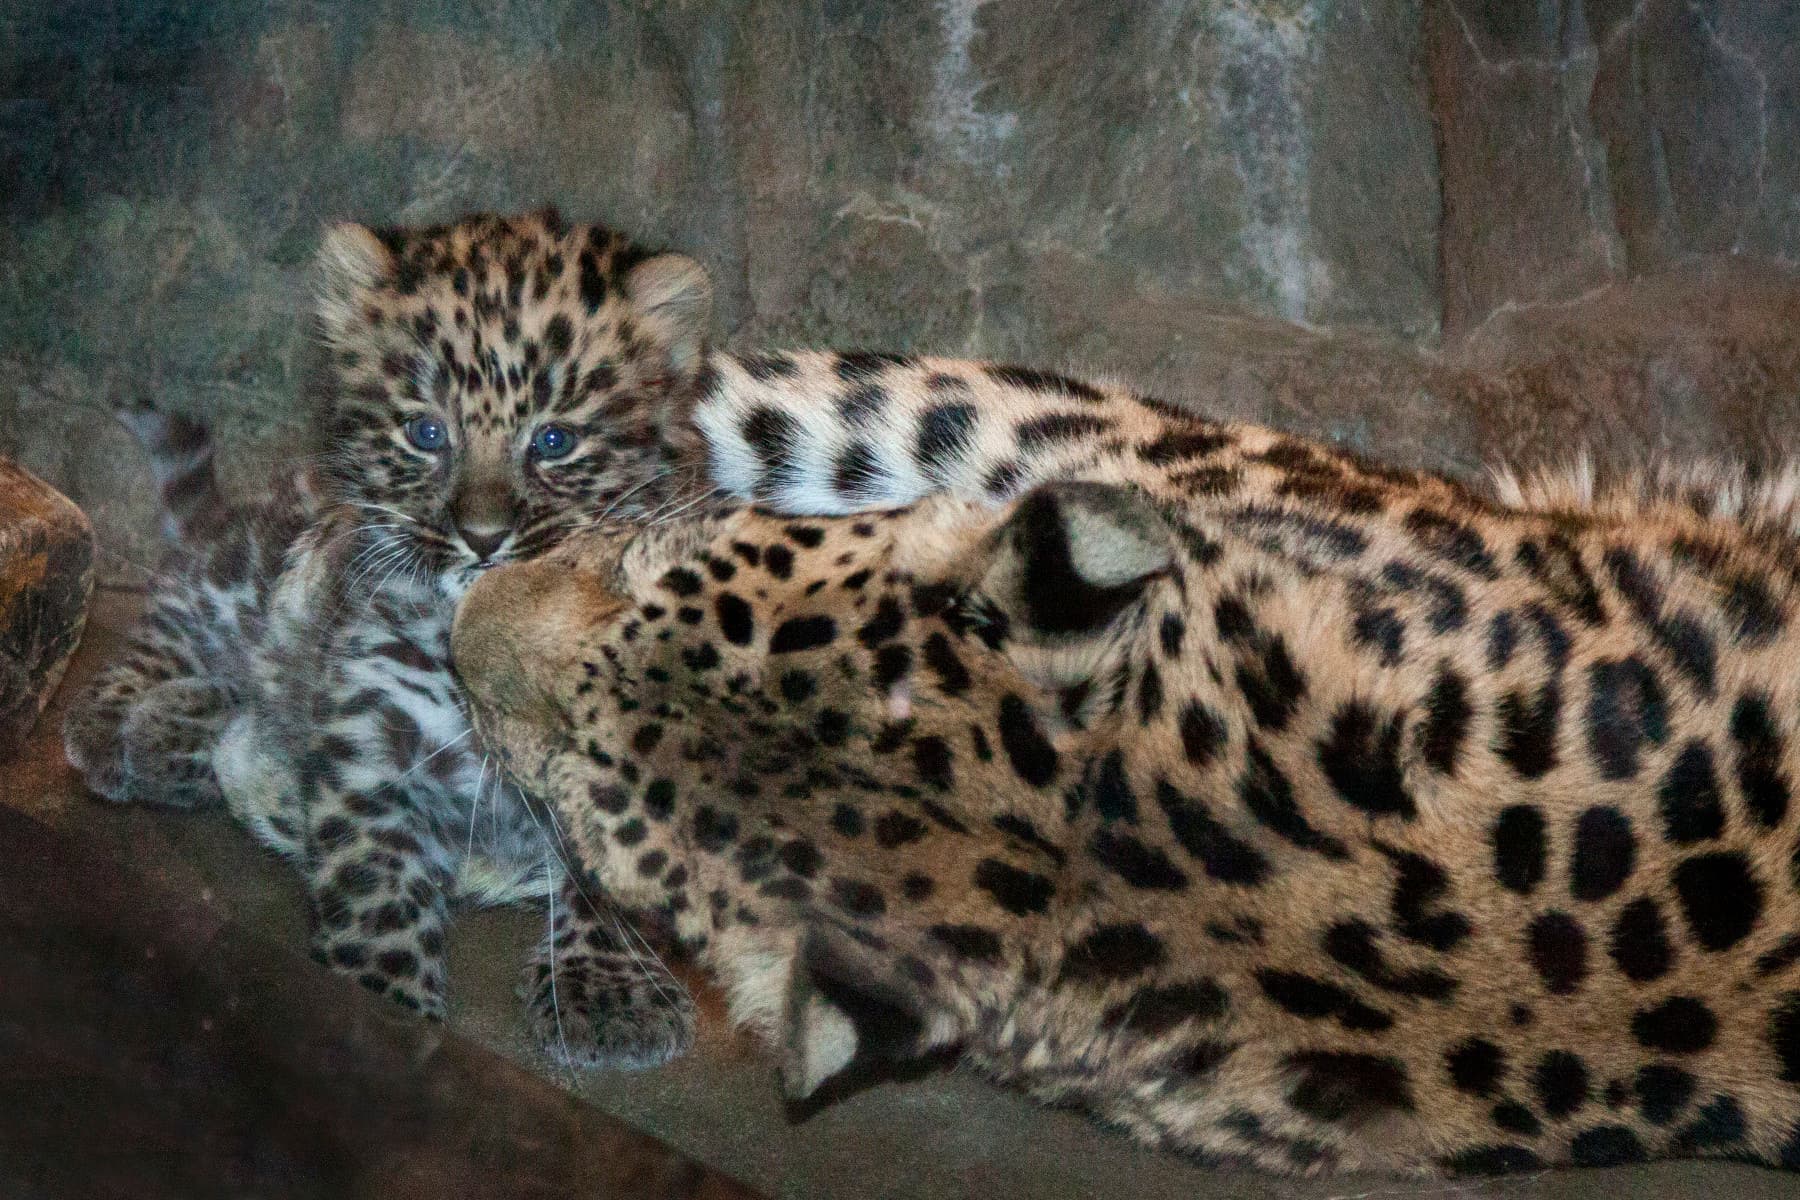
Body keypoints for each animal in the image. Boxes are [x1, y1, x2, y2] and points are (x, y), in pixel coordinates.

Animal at [62, 208, 723, 1066]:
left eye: (553, 442)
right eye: (426, 432)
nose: (483, 538)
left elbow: (610, 885)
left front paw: (611, 993)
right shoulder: (369, 738)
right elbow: (374, 888)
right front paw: (380, 1009)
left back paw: (186, 733)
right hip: (251, 568)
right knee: (177, 616)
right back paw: (118, 725)